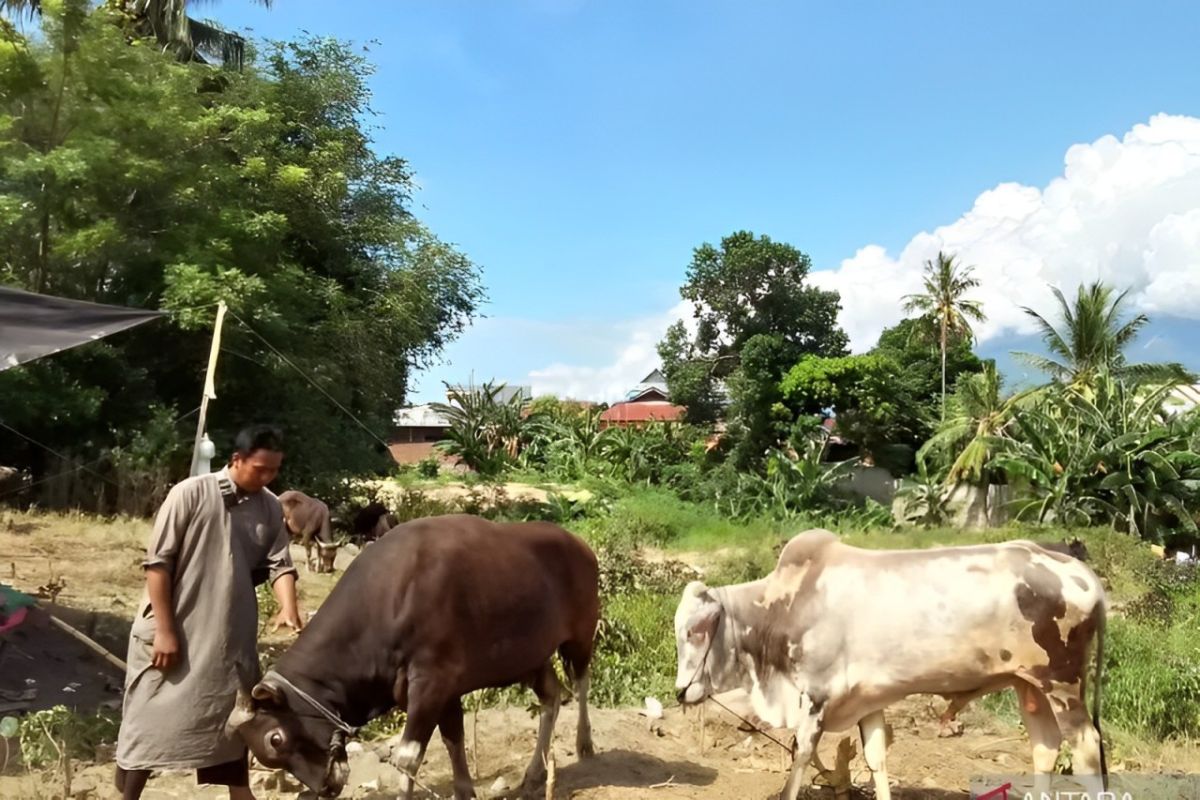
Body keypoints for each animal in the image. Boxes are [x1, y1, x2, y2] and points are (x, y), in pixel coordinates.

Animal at [223, 513, 597, 800]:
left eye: (275, 739)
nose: (325, 787)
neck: (388, 601)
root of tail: (581, 546)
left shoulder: (431, 683)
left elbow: (407, 758)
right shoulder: (446, 690)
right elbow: (453, 740)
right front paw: (465, 791)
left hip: (581, 636)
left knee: (581, 682)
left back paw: (585, 744)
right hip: (531, 657)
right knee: (551, 696)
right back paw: (535, 772)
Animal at [676, 532, 1104, 800]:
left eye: (695, 630)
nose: (681, 691)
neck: (789, 604)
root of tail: (1083, 574)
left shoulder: (815, 699)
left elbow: (800, 756)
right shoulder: (868, 699)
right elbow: (876, 758)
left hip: (1063, 683)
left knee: (1086, 749)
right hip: (1029, 685)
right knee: (1045, 748)